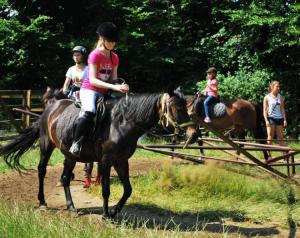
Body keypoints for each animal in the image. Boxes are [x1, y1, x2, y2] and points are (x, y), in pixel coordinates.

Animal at [0, 87, 191, 218]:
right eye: (177, 107)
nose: (192, 133)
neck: (122, 123)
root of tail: (50, 108)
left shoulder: (122, 161)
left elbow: (128, 189)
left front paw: (114, 212)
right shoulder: (106, 161)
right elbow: (106, 189)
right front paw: (106, 215)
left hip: (70, 156)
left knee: (65, 178)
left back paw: (71, 207)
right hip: (46, 145)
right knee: (41, 171)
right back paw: (42, 201)